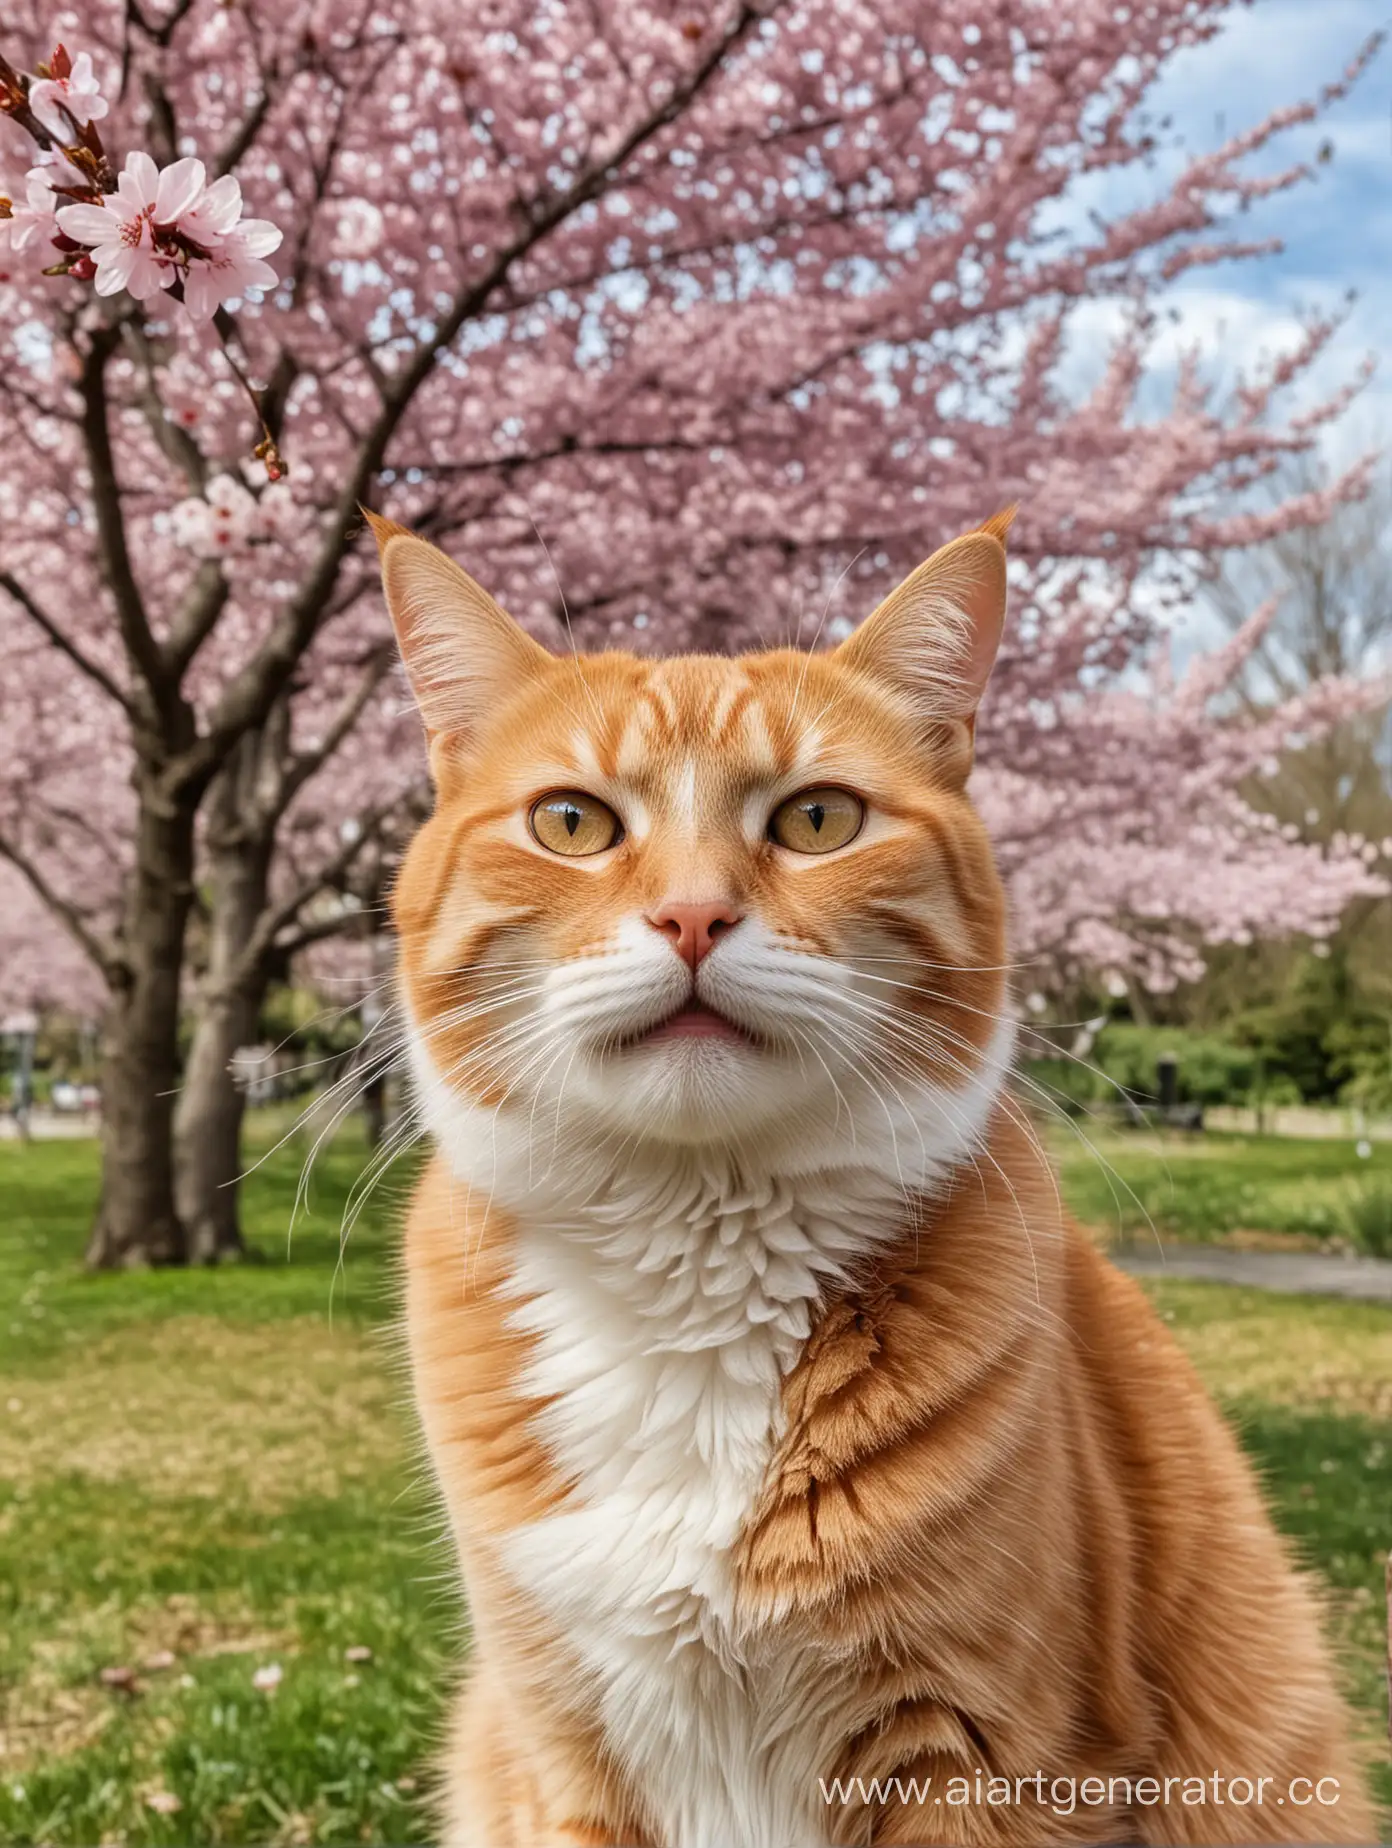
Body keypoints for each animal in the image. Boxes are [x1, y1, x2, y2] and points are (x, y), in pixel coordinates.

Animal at [369, 513, 1367, 1848]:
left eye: (818, 821)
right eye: (573, 824)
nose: (692, 915)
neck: (699, 1264)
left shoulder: (988, 1760)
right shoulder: (561, 1758)